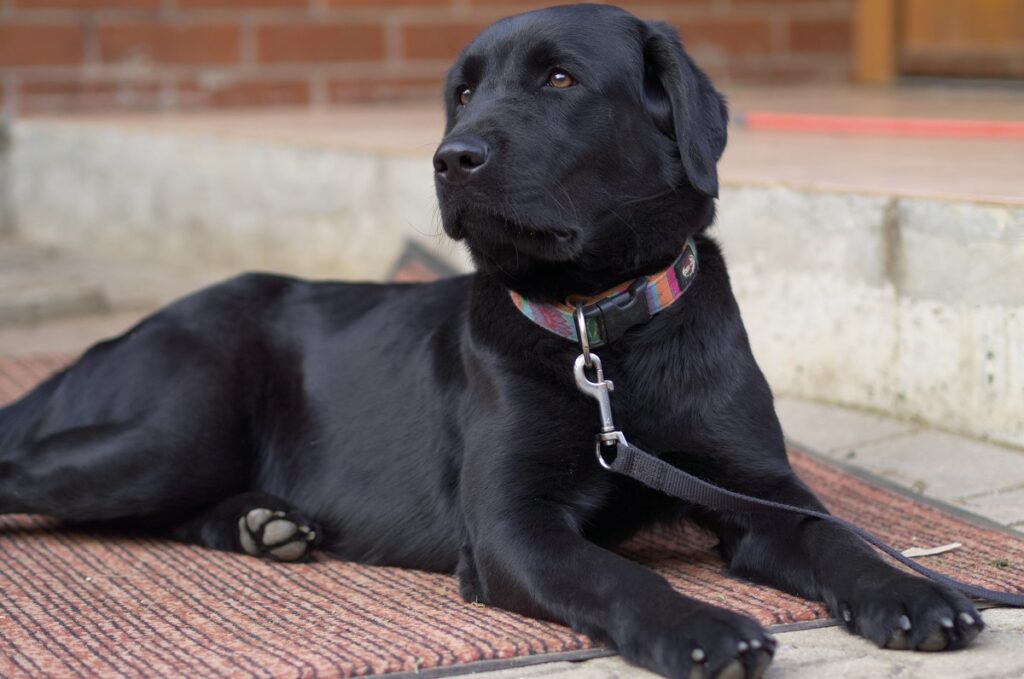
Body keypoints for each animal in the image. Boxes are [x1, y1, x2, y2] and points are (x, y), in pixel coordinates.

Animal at [4, 5, 987, 679]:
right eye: (465, 91)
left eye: (560, 81)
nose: (451, 157)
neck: (600, 330)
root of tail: (126, 330)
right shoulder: (514, 522)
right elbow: (617, 578)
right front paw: (703, 628)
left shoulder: (756, 485)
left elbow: (837, 539)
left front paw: (917, 592)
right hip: (169, 432)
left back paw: (263, 522)